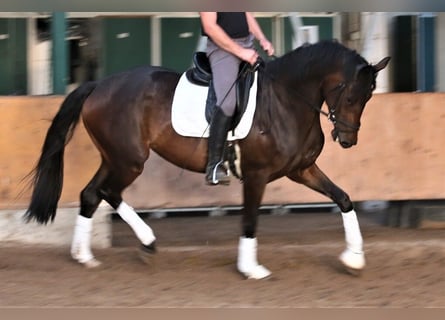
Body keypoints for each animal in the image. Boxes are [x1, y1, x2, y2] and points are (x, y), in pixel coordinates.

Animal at [25, 40, 388, 278]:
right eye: (351, 96)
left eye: (369, 98)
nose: (348, 140)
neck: (287, 99)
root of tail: (99, 84)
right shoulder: (257, 174)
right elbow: (250, 219)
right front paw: (250, 268)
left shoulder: (302, 169)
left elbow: (343, 198)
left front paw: (354, 258)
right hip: (129, 160)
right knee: (106, 192)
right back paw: (142, 243)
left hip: (114, 157)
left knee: (92, 194)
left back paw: (86, 256)